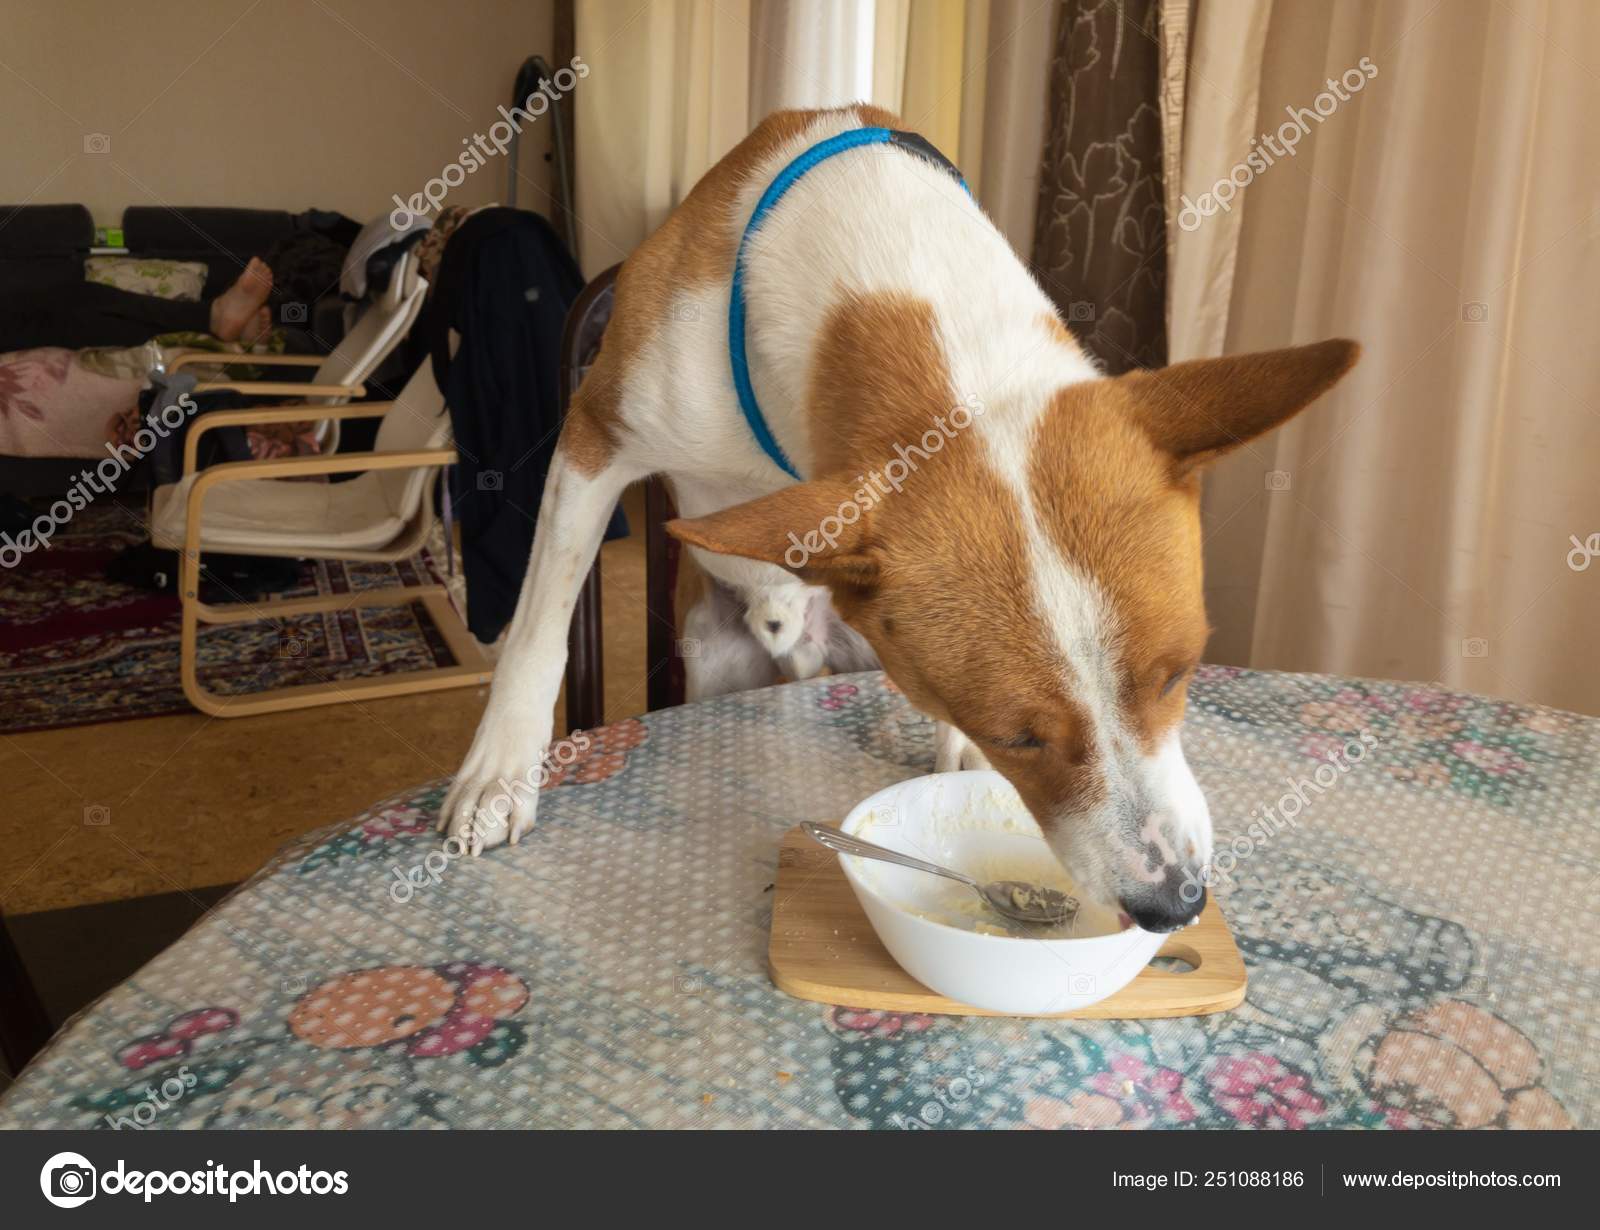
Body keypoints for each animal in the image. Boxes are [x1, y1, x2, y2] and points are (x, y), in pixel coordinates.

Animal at [444, 105, 1356, 934]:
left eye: (1178, 675)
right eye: (1017, 737)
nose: (1175, 903)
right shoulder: (594, 436)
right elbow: (540, 626)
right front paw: (500, 774)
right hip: (711, 650)